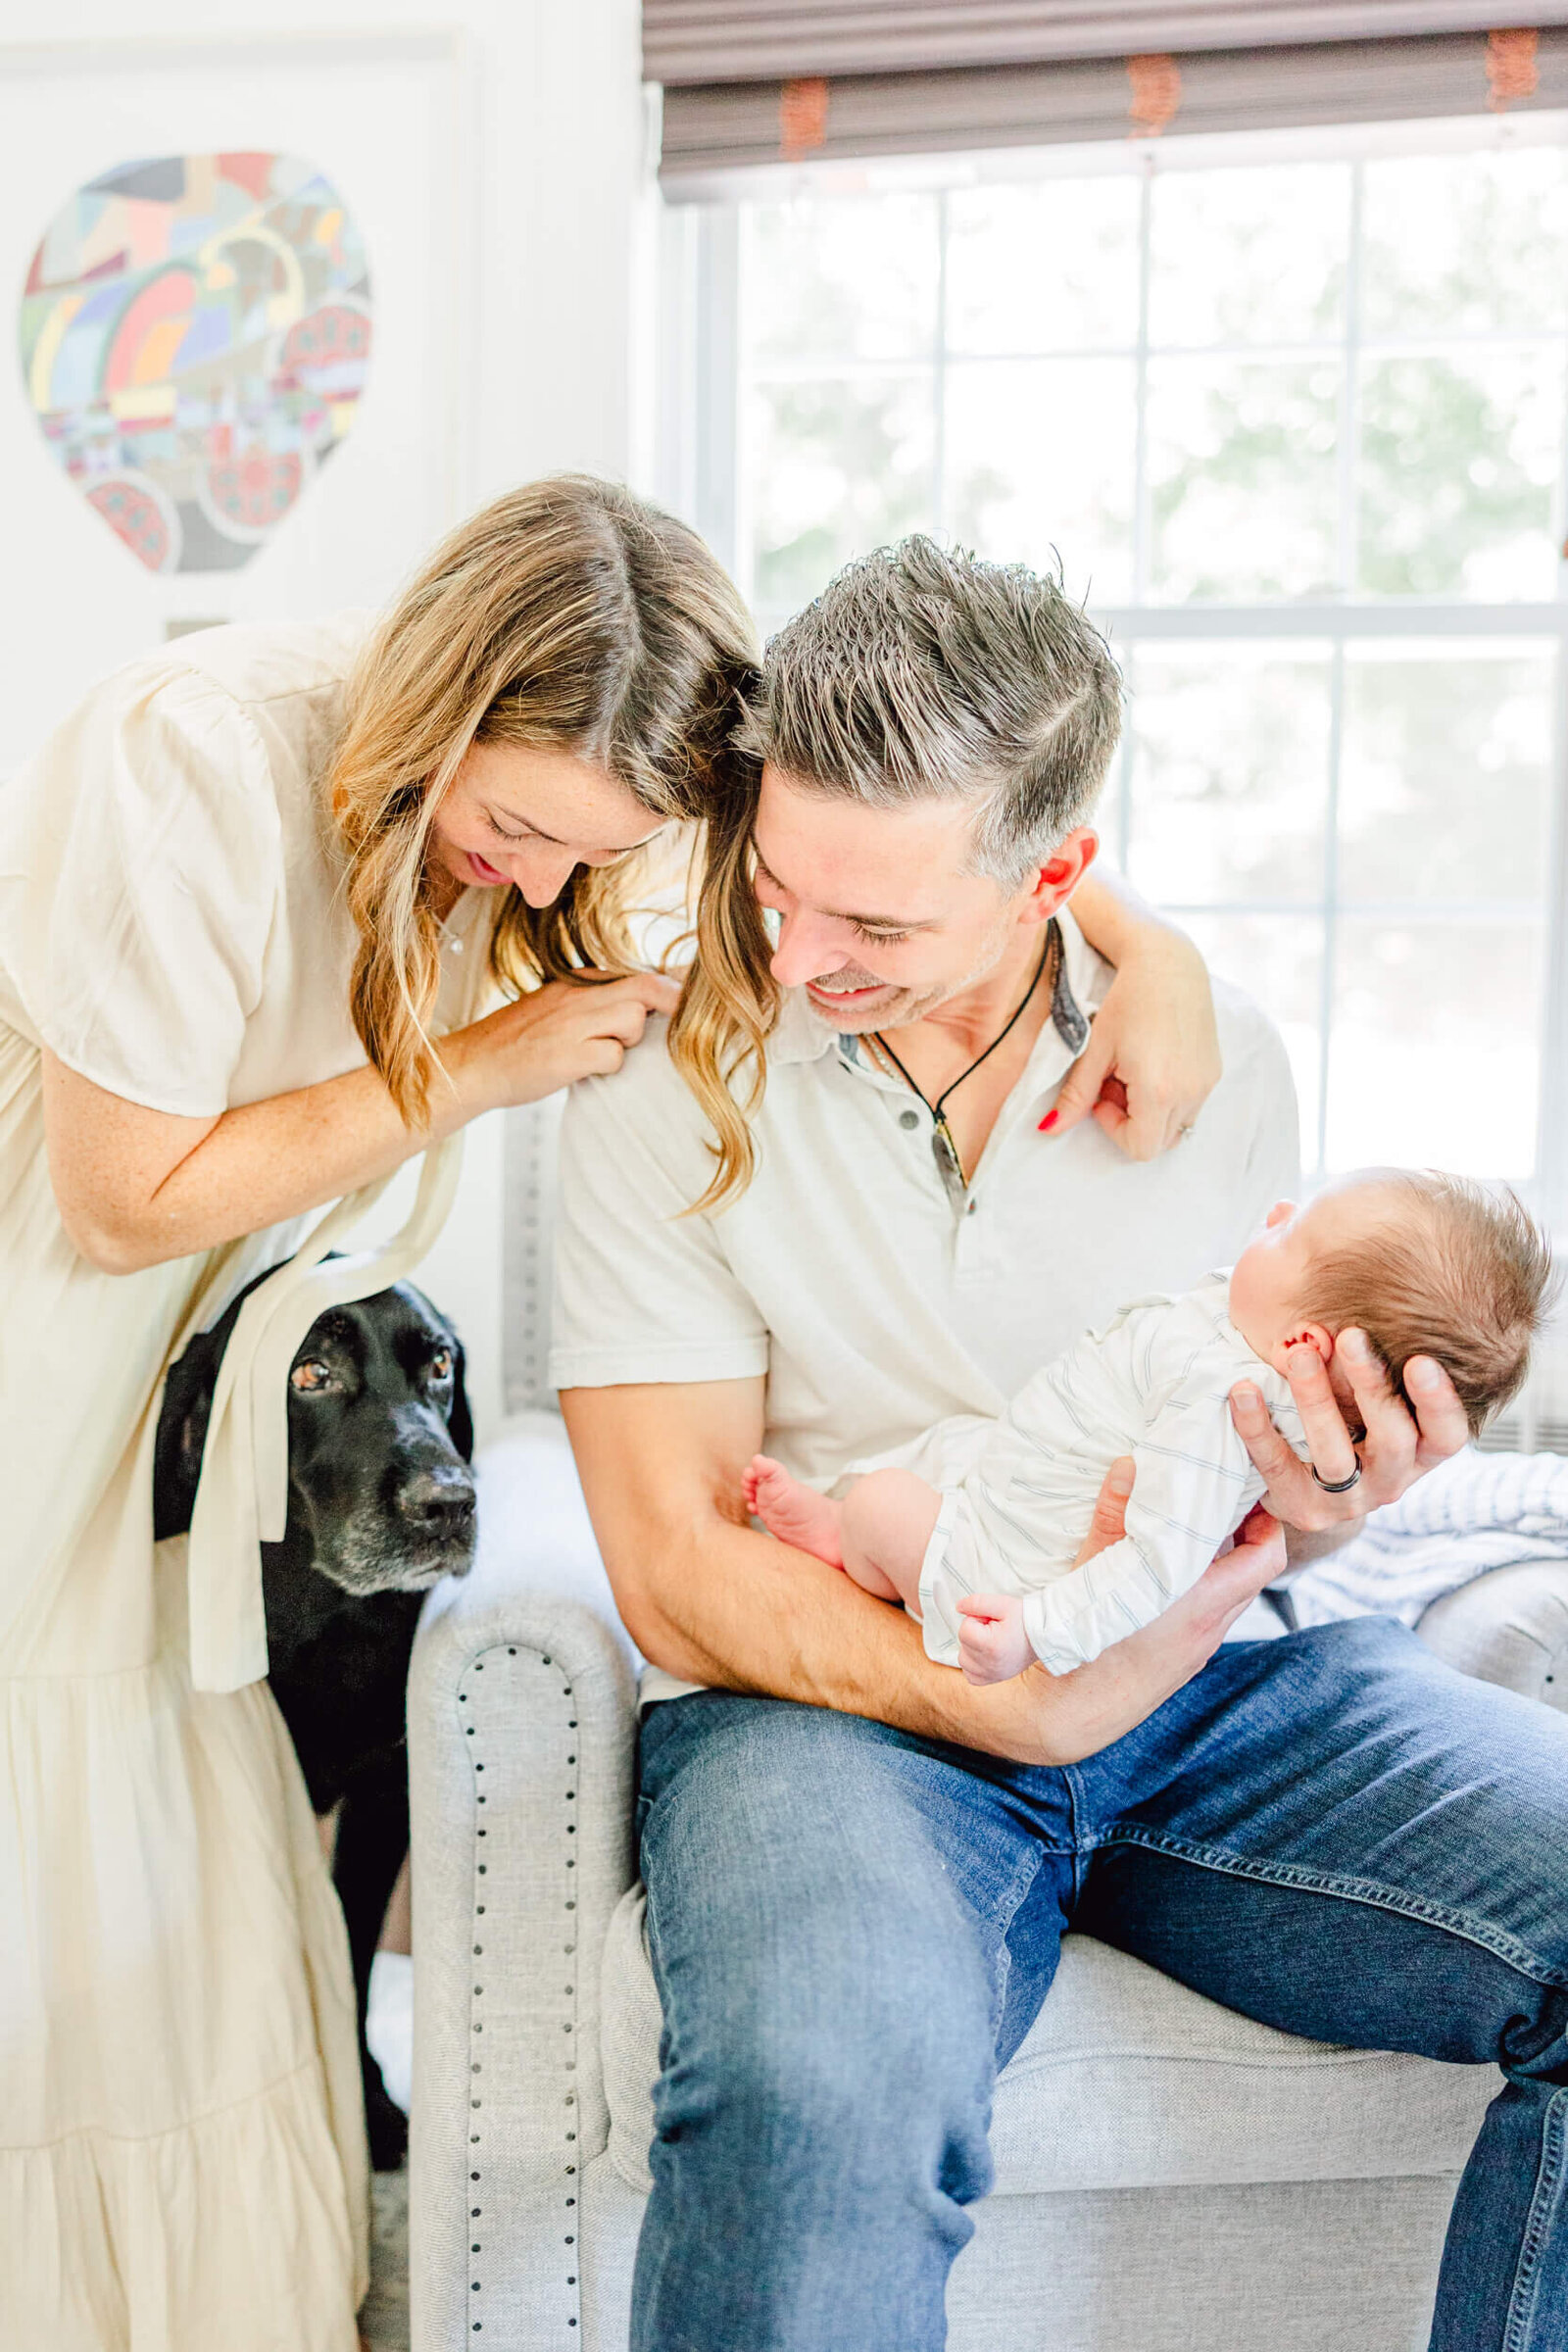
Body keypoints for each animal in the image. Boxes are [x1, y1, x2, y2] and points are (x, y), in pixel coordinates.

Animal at [158, 1270, 481, 2164]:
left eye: (440, 1364)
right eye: (310, 1375)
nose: (451, 1504)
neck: (324, 1620)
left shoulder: (384, 1797)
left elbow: (352, 1944)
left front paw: (364, 2102)